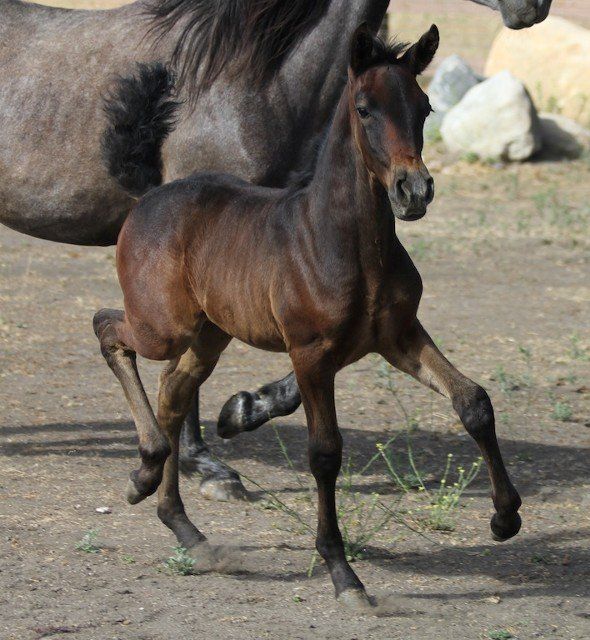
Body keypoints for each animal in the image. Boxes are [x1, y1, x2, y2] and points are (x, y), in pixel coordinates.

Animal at [93, 24, 522, 608]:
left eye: (426, 106)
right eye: (365, 109)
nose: (413, 190)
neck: (343, 241)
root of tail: (149, 195)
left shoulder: (399, 336)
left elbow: (473, 401)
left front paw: (506, 517)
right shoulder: (311, 354)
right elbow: (324, 454)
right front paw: (343, 573)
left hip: (209, 335)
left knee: (174, 391)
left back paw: (183, 525)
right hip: (164, 325)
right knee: (108, 329)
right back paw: (144, 471)